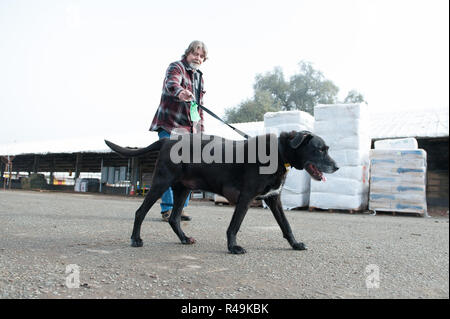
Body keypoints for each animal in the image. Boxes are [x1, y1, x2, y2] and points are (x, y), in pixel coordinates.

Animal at [105, 131, 338, 255]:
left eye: (327, 149)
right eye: (320, 149)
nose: (337, 167)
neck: (279, 153)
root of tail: (168, 140)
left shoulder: (274, 199)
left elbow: (286, 225)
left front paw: (295, 244)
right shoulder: (245, 198)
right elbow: (234, 225)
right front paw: (233, 247)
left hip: (183, 190)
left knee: (174, 218)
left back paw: (184, 238)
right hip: (161, 184)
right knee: (140, 212)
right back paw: (136, 239)